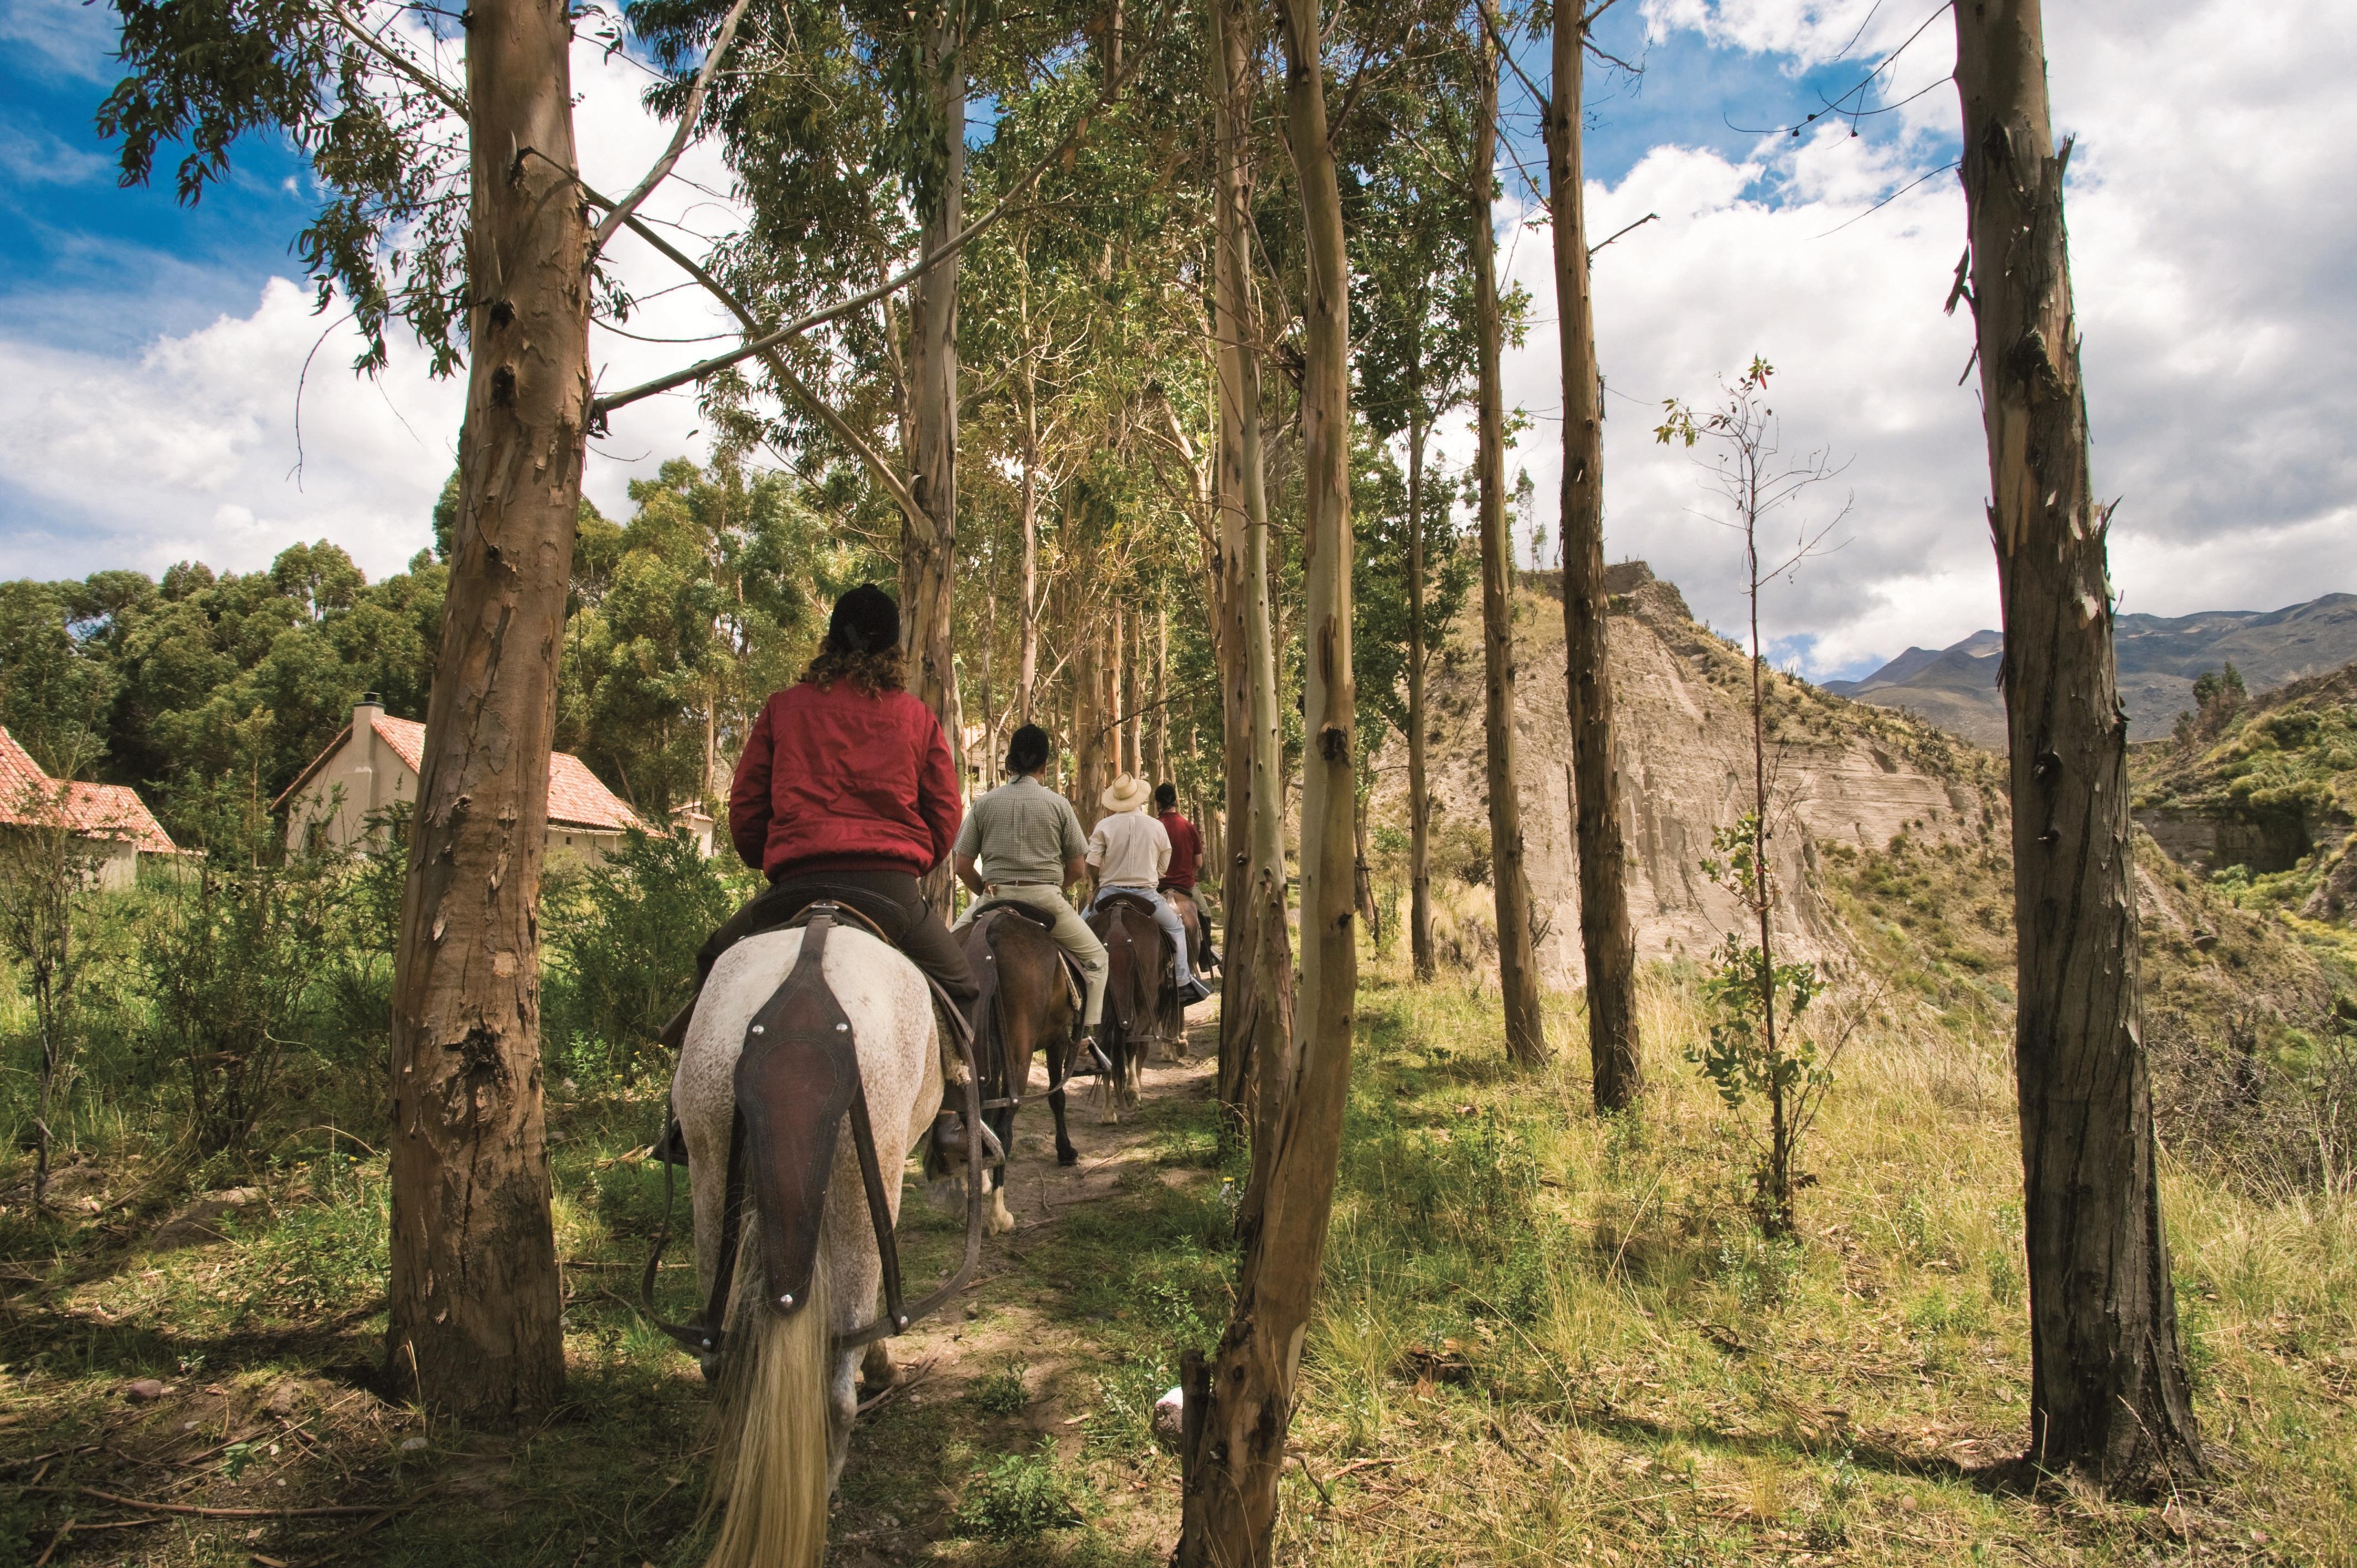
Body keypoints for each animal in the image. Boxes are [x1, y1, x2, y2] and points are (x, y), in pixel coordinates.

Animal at [669, 924, 943, 1565]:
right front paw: (882, 1367)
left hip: (709, 1171)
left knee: (721, 1360)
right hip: (858, 1188)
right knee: (839, 1377)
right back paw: (829, 1472)